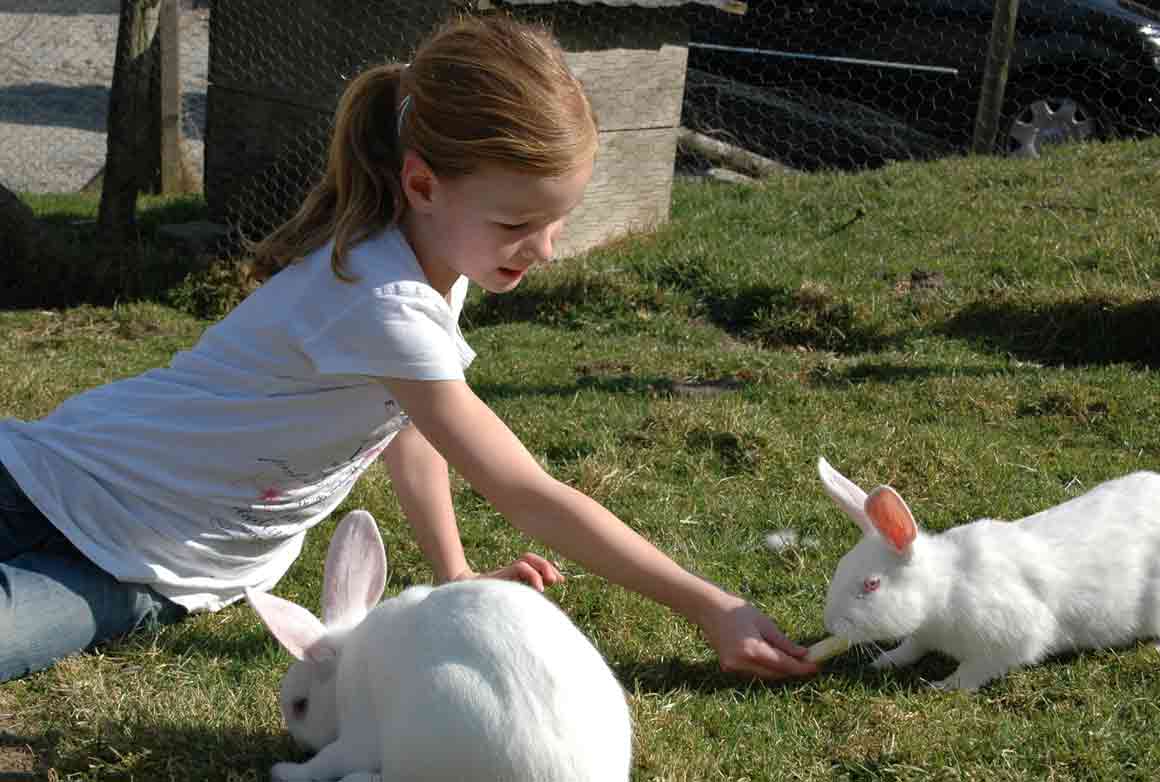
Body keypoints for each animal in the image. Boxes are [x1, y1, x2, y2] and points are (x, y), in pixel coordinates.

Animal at [816, 457, 1160, 686]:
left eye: (872, 584)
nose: (831, 624)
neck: (944, 591)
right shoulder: (922, 635)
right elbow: (911, 647)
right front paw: (885, 662)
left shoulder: (1009, 642)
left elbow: (973, 672)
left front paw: (941, 687)